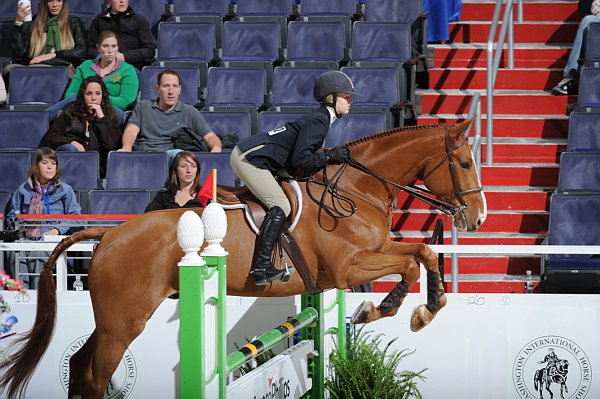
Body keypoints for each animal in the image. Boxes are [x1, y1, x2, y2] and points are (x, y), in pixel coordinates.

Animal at [0, 119, 486, 399]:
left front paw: (424, 308)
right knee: (95, 377)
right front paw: (383, 308)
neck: (355, 189)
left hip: (113, 320)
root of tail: (110, 233)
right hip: (124, 321)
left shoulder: (364, 259)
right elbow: (409, 264)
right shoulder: (348, 267)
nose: (478, 217)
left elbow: (422, 252)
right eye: (463, 163)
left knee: (80, 367)